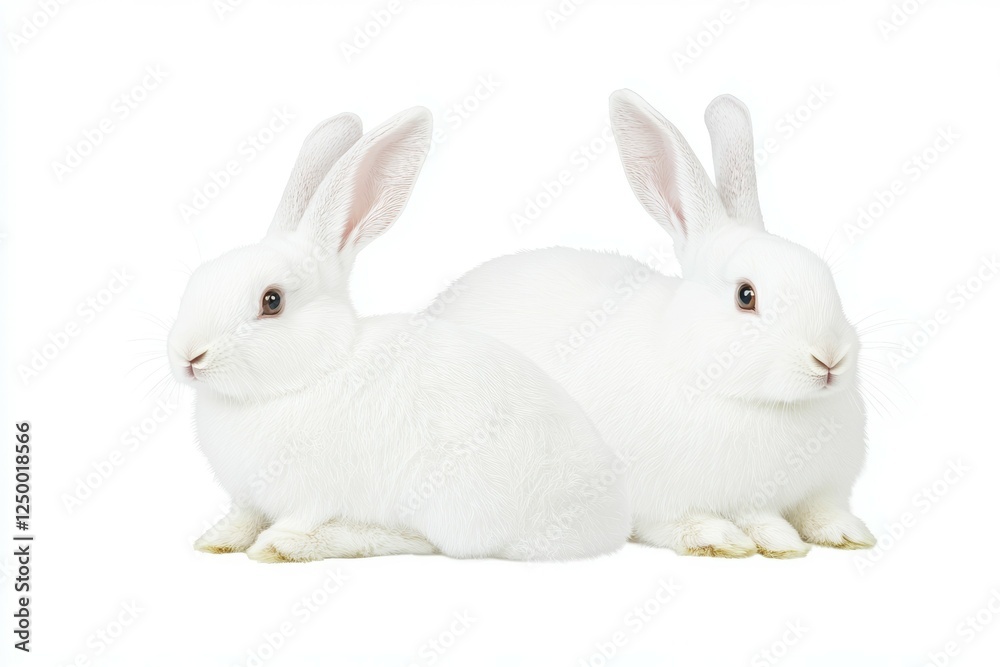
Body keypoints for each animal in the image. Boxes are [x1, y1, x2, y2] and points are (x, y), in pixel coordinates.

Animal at [167, 107, 630, 563]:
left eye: (272, 301)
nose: (189, 357)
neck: (314, 375)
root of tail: (607, 526)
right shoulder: (249, 498)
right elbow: (244, 516)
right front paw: (217, 540)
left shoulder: (314, 493)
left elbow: (302, 517)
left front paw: (274, 545)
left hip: (451, 504)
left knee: (420, 541)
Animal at [428, 90, 876, 558]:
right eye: (746, 295)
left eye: (827, 276)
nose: (829, 358)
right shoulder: (661, 502)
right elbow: (700, 521)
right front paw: (738, 538)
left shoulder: (819, 491)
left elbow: (818, 511)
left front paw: (846, 533)